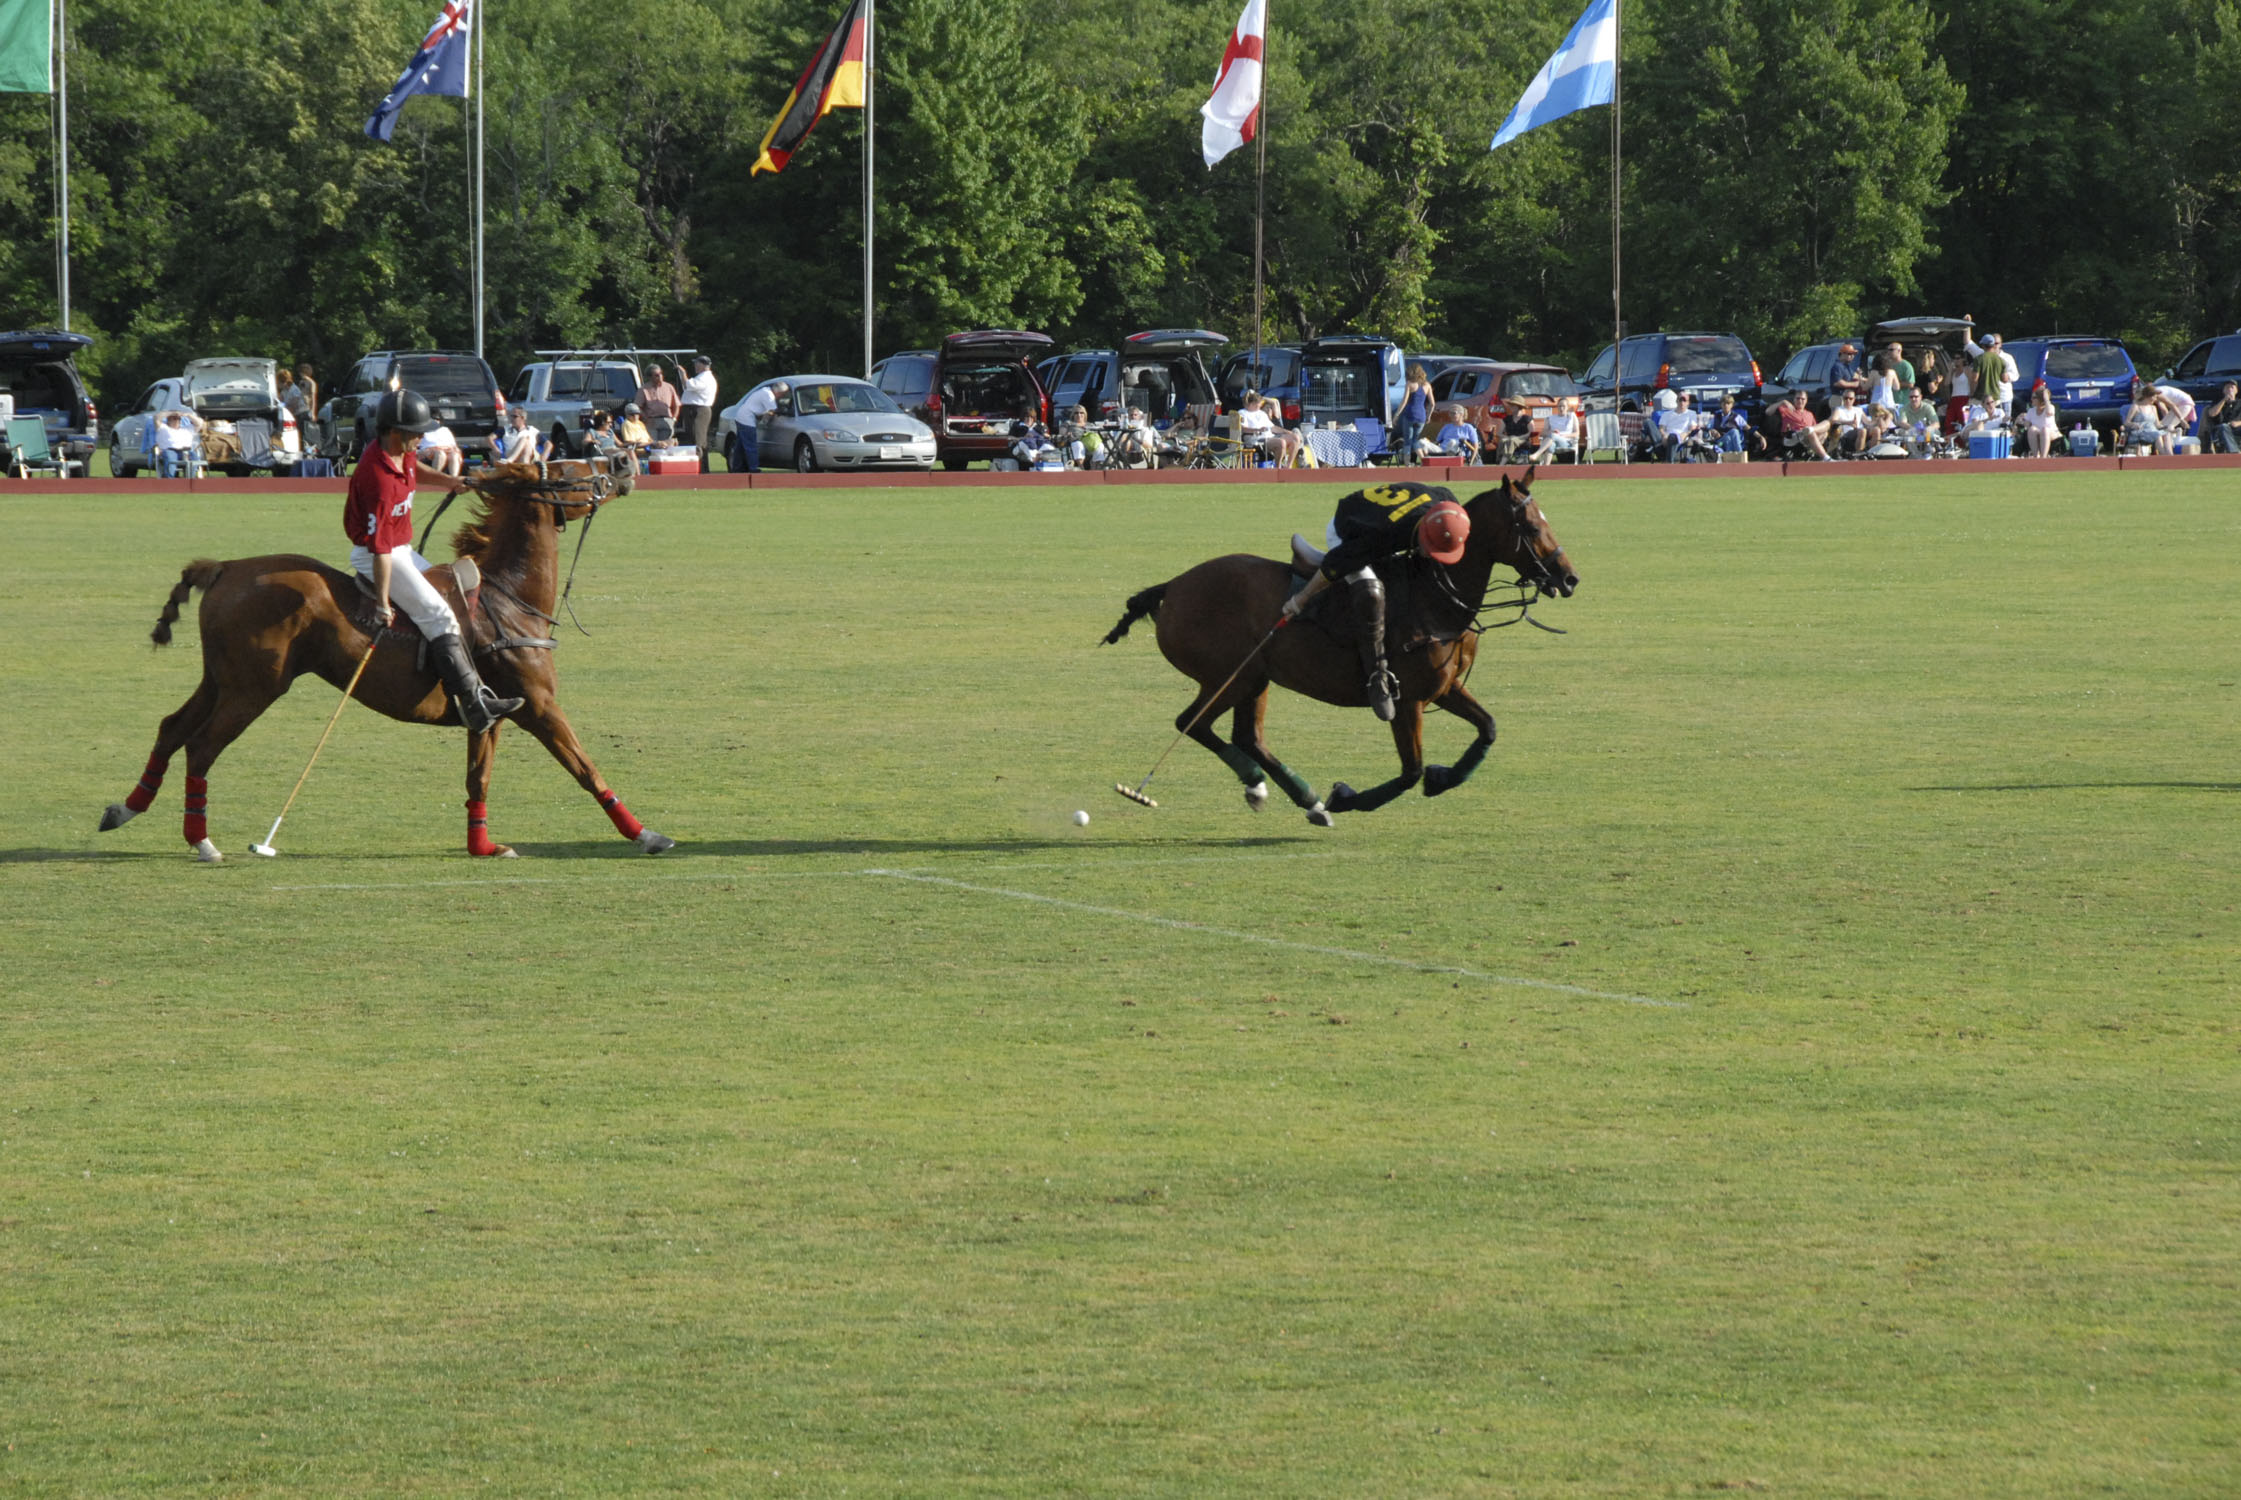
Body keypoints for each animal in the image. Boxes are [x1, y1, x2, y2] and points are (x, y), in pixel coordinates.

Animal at [98, 457, 672, 860]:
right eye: (572, 470)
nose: (625, 464)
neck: (510, 596)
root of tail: (224, 567)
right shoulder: (538, 706)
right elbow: (586, 769)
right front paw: (647, 835)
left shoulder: (489, 714)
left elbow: (478, 779)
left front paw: (483, 846)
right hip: (254, 687)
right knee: (200, 747)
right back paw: (202, 842)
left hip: (220, 679)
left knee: (171, 727)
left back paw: (125, 809)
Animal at [1102, 468, 1577, 825]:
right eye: (1532, 527)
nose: (1569, 579)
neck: (1438, 596)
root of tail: (1174, 586)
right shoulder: (1408, 700)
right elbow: (1410, 771)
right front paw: (1347, 797)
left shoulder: (1443, 689)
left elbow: (1488, 728)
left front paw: (1443, 778)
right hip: (1229, 676)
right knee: (1192, 723)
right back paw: (1274, 788)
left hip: (1255, 678)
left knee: (1246, 736)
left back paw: (1297, 798)